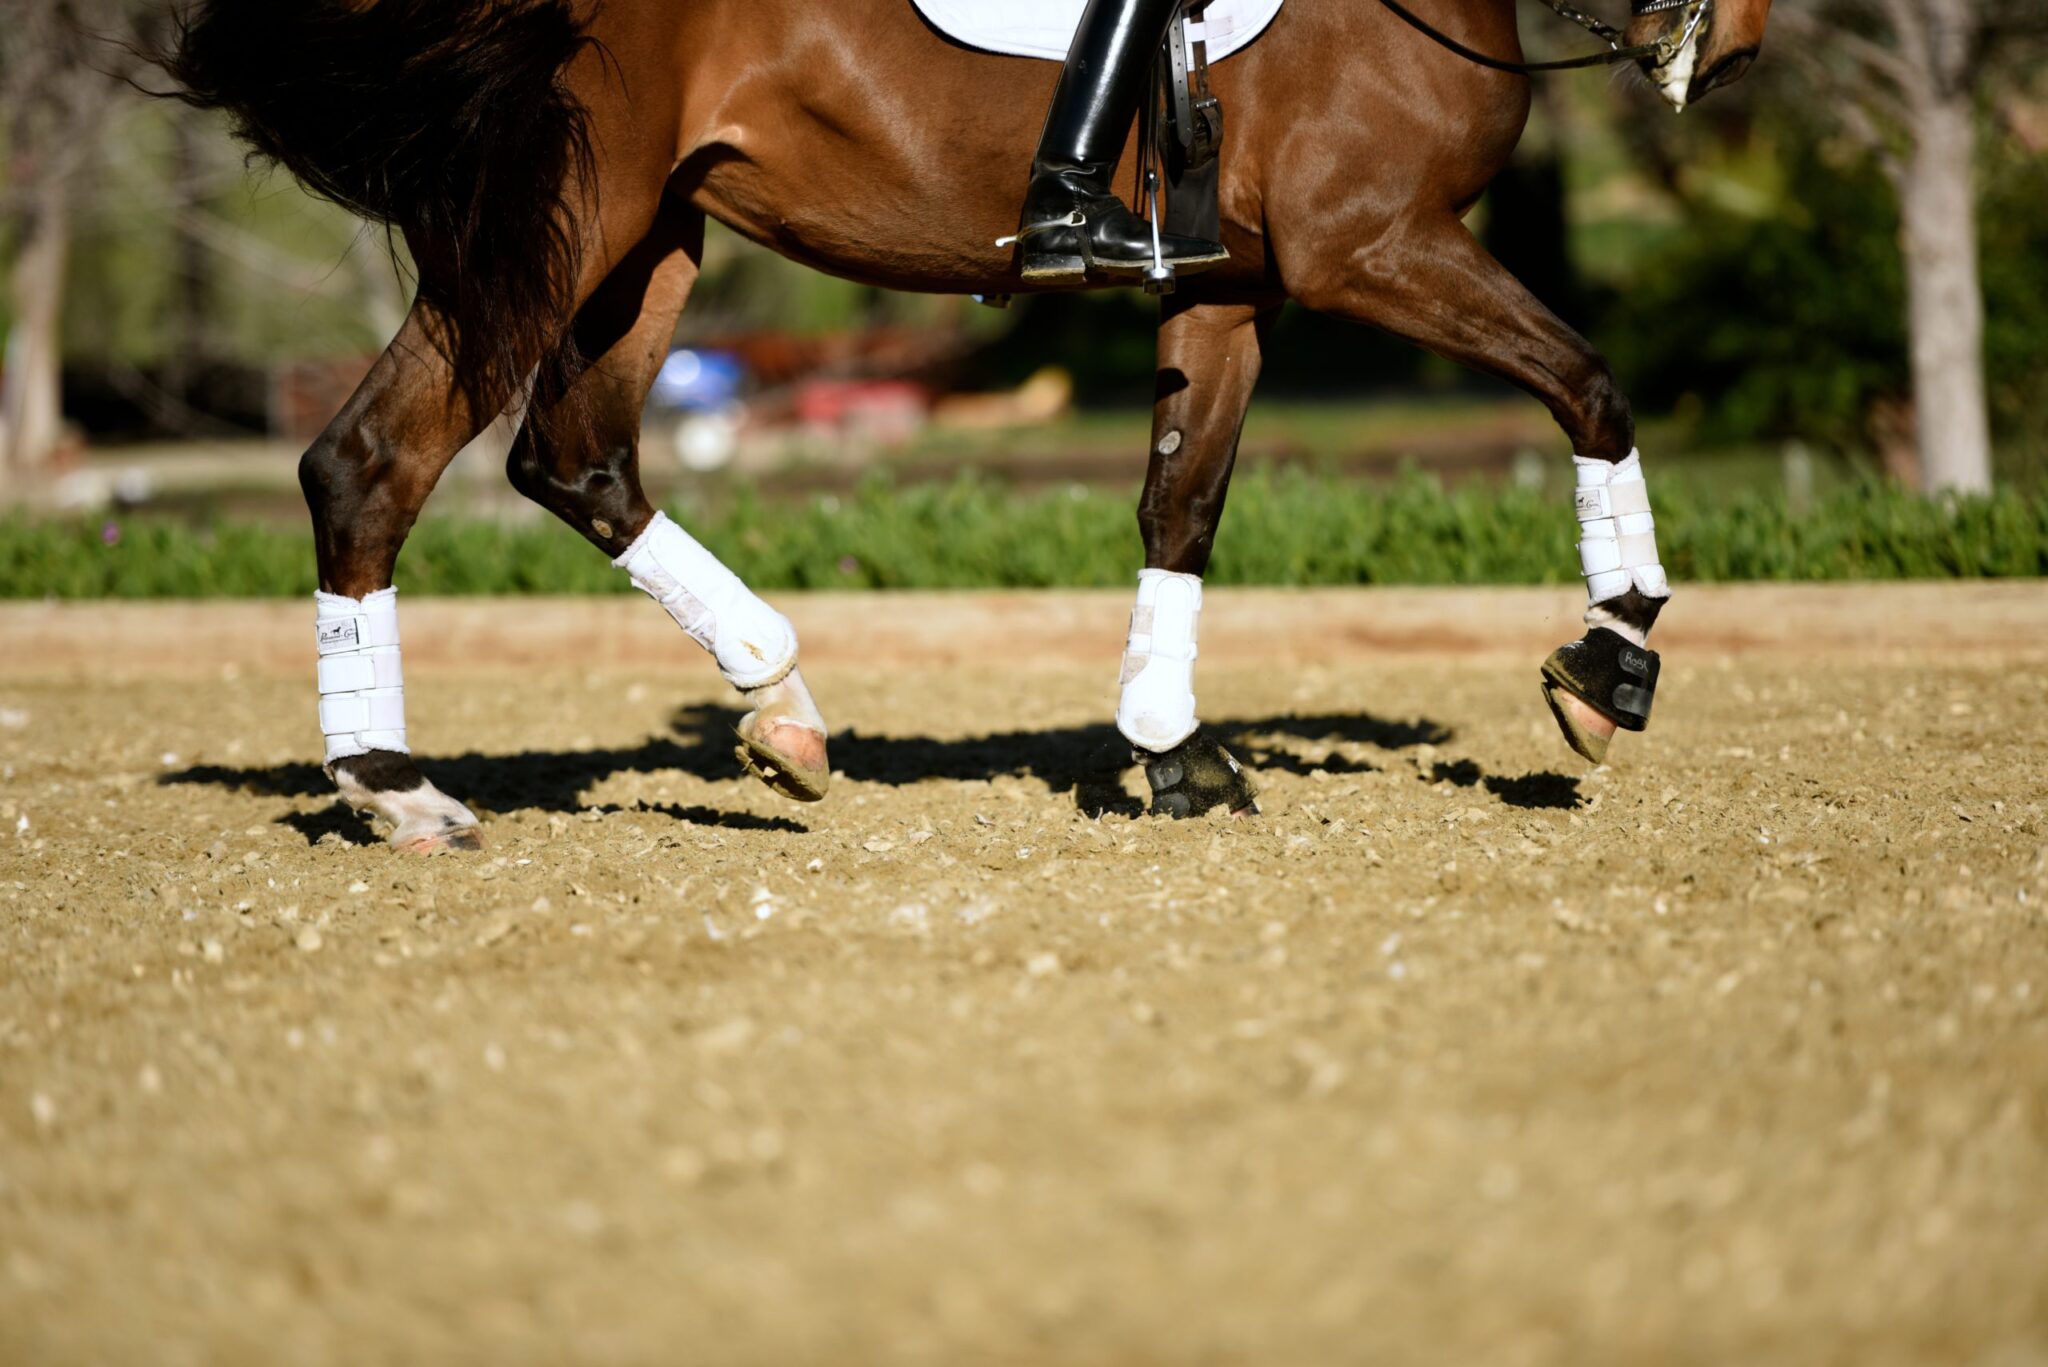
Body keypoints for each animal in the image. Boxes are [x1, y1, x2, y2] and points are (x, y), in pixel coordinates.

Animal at [167, 0, 1769, 848]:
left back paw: (783, 707)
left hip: (651, 237)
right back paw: (395, 788)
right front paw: (1609, 663)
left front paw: (1170, 745)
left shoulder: (1231, 286)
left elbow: (1182, 504)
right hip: (562, 222)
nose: (1742, 49)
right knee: (371, 459)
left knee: (573, 455)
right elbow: (1589, 383)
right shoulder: (1369, 243)